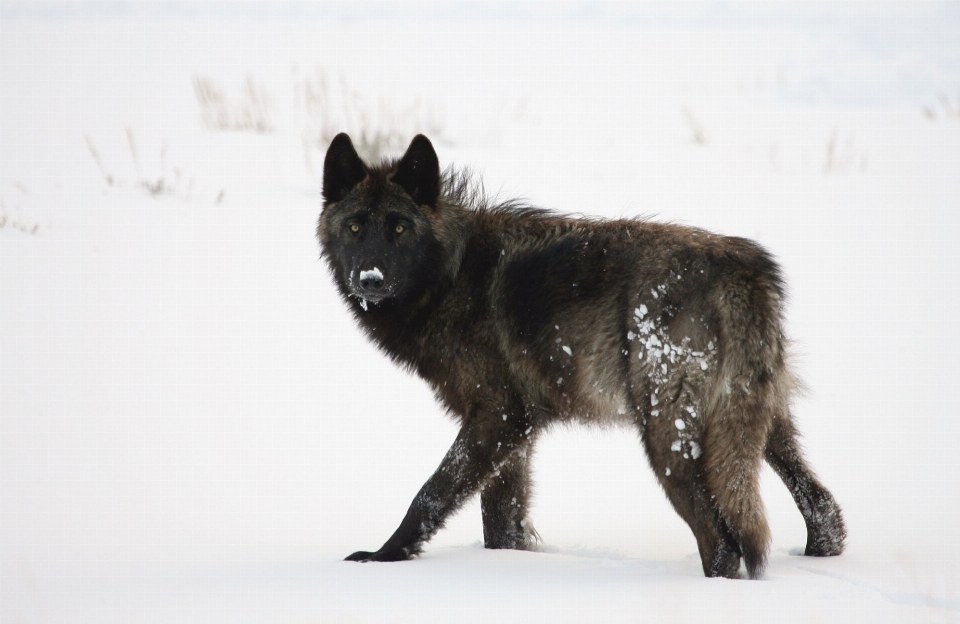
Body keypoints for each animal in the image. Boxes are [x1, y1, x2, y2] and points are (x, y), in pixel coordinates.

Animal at [318, 133, 844, 580]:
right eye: (355, 226)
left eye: (399, 228)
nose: (369, 278)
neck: (451, 275)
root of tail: (744, 269)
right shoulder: (516, 432)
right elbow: (500, 524)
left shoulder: (497, 416)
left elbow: (430, 494)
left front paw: (382, 557)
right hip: (759, 425)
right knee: (824, 508)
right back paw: (820, 551)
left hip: (667, 438)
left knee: (722, 542)